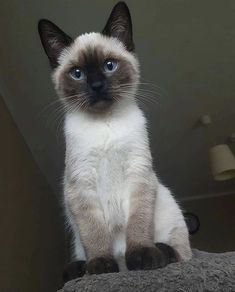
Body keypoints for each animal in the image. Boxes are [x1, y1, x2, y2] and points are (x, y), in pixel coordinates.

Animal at [38, 0, 192, 278]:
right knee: (85, 255)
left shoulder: (138, 173)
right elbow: (95, 236)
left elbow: (139, 227)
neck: (105, 123)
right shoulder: (82, 184)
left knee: (180, 254)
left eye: (109, 66)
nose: (97, 86)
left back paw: (152, 256)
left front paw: (141, 257)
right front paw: (101, 266)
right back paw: (85, 269)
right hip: (76, 238)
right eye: (77, 73)